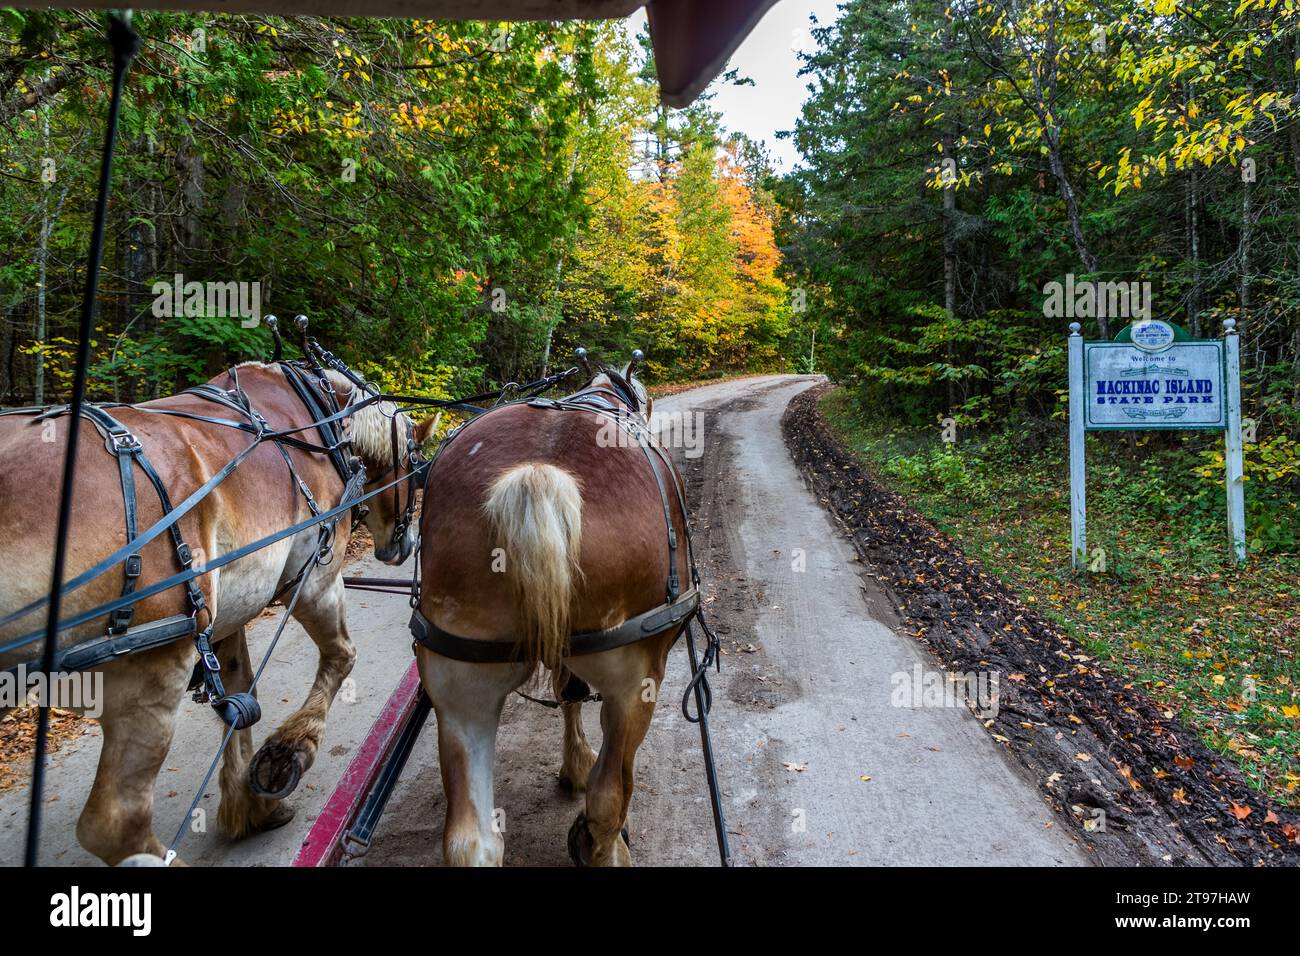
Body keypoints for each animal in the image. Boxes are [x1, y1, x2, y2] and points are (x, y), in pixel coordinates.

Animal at [0, 358, 431, 868]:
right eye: (413, 466)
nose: (405, 545)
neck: (324, 421)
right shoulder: (314, 578)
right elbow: (342, 656)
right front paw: (289, 752)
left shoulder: (226, 617)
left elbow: (241, 693)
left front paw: (249, 805)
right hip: (150, 667)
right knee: (116, 823)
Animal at [413, 358, 702, 868]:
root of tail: (538, 471)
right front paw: (579, 767)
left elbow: (568, 692)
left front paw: (573, 764)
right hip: (634, 680)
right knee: (609, 800)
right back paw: (606, 849)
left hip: (459, 683)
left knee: (471, 841)